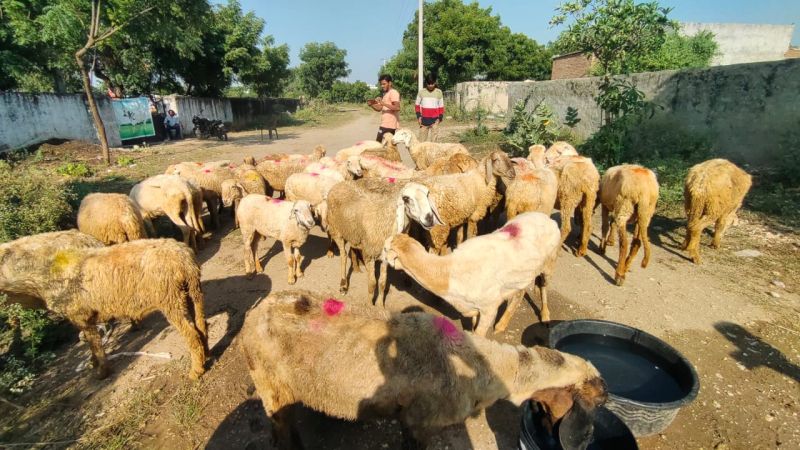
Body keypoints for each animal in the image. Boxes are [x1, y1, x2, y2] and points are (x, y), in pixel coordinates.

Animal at [0, 232, 209, 380]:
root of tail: (184, 259)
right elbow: (91, 344)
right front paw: (94, 364)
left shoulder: (81, 316)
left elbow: (95, 345)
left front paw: (101, 371)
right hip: (192, 294)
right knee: (201, 327)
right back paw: (206, 355)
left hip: (170, 300)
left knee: (192, 335)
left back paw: (196, 371)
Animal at [239, 290, 608, 448]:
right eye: (596, 402)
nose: (587, 438)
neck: (483, 366)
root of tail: (253, 313)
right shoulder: (419, 420)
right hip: (270, 385)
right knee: (280, 429)